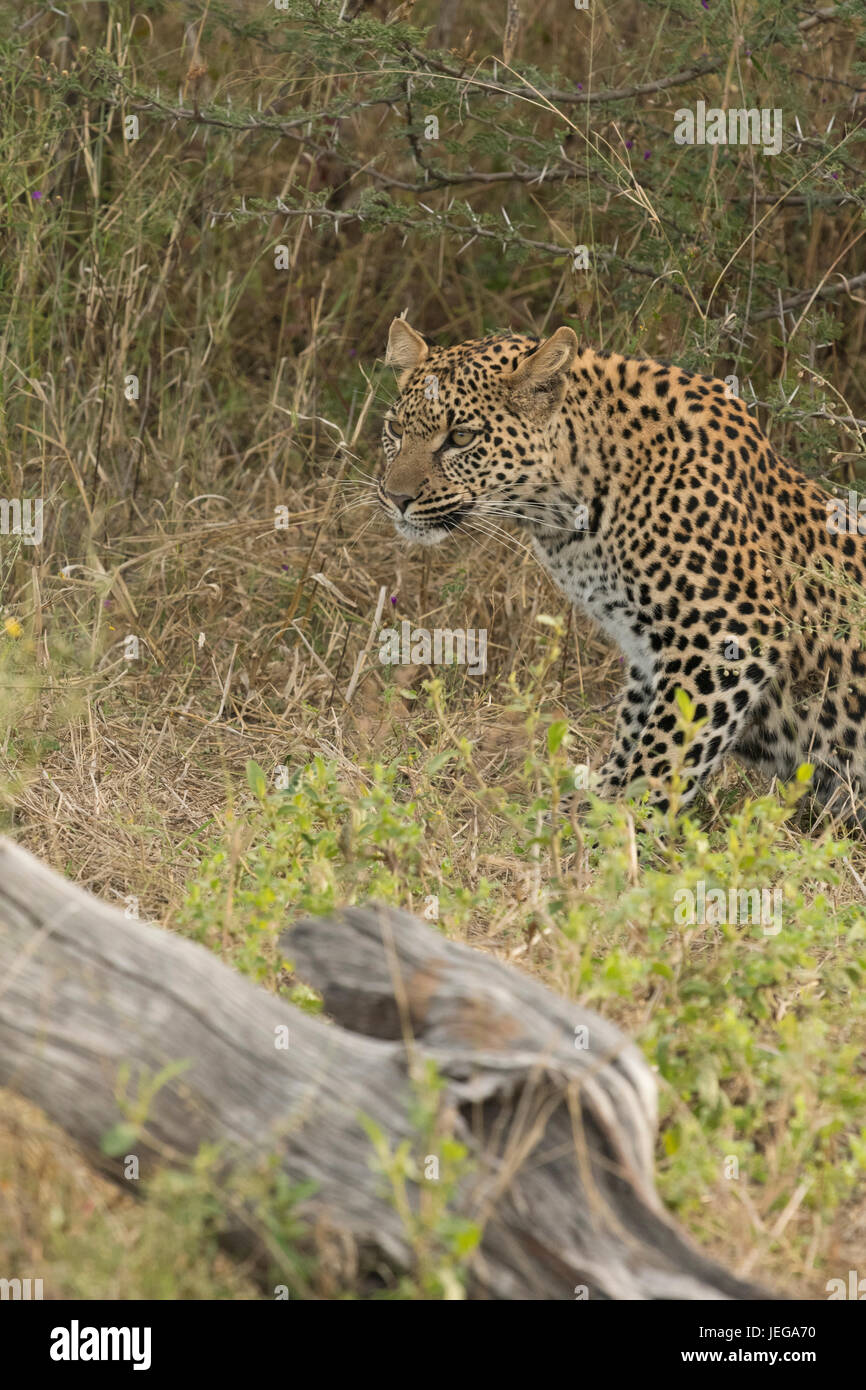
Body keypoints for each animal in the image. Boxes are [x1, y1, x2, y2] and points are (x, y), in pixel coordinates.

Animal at [377, 316, 866, 825]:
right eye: (395, 428)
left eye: (461, 437)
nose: (395, 497)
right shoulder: (648, 649)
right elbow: (634, 732)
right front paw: (583, 812)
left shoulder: (730, 633)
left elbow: (665, 749)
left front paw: (624, 826)